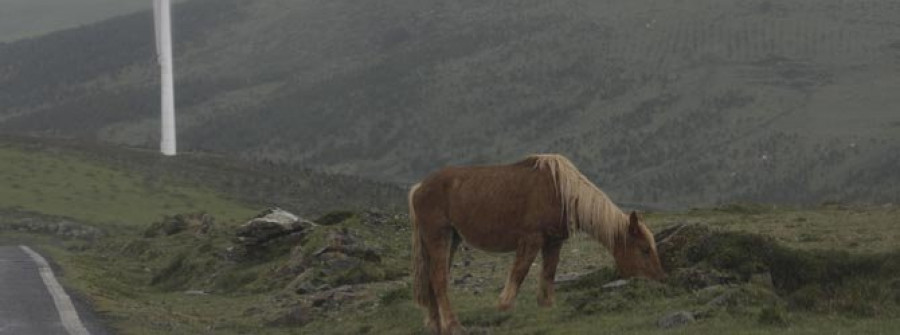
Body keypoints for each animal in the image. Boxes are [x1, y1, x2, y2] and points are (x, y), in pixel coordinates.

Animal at [412, 156, 664, 334]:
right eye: (644, 249)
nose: (660, 280)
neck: (562, 191)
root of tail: (419, 187)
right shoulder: (531, 239)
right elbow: (519, 272)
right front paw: (503, 306)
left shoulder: (554, 242)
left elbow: (549, 272)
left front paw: (546, 305)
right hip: (439, 236)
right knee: (439, 279)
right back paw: (452, 325)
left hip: (451, 239)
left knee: (433, 279)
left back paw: (435, 324)